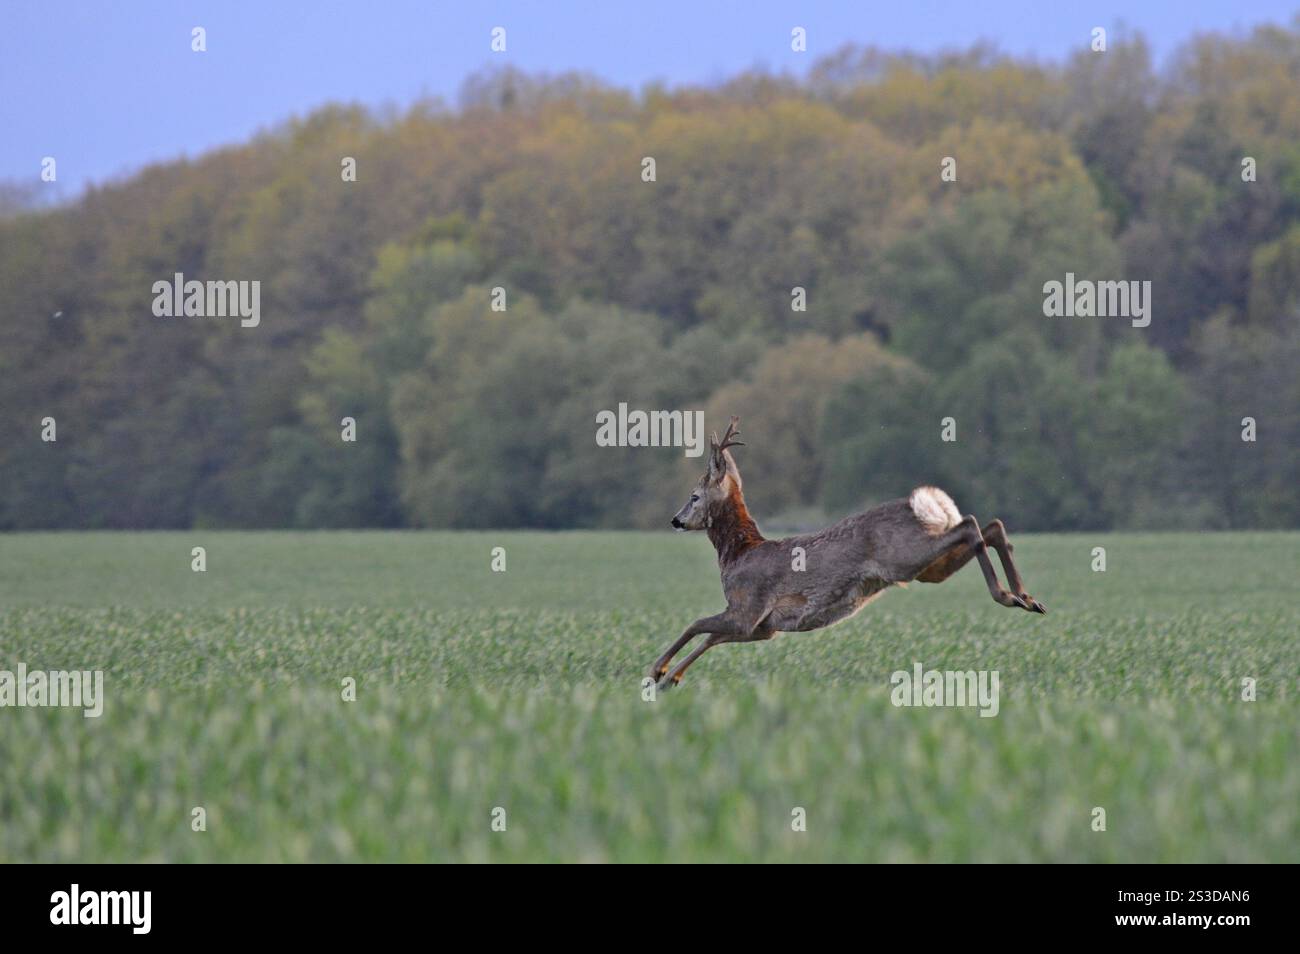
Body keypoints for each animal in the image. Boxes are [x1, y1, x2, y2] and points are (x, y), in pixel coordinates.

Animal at [650, 416, 1046, 690]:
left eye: (694, 496)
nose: (675, 520)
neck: (738, 553)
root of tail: (932, 504)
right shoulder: (763, 627)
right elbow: (711, 636)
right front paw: (672, 679)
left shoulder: (748, 608)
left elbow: (696, 624)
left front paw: (658, 671)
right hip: (930, 567)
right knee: (990, 526)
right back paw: (1027, 598)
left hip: (906, 555)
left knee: (971, 524)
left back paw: (1008, 595)